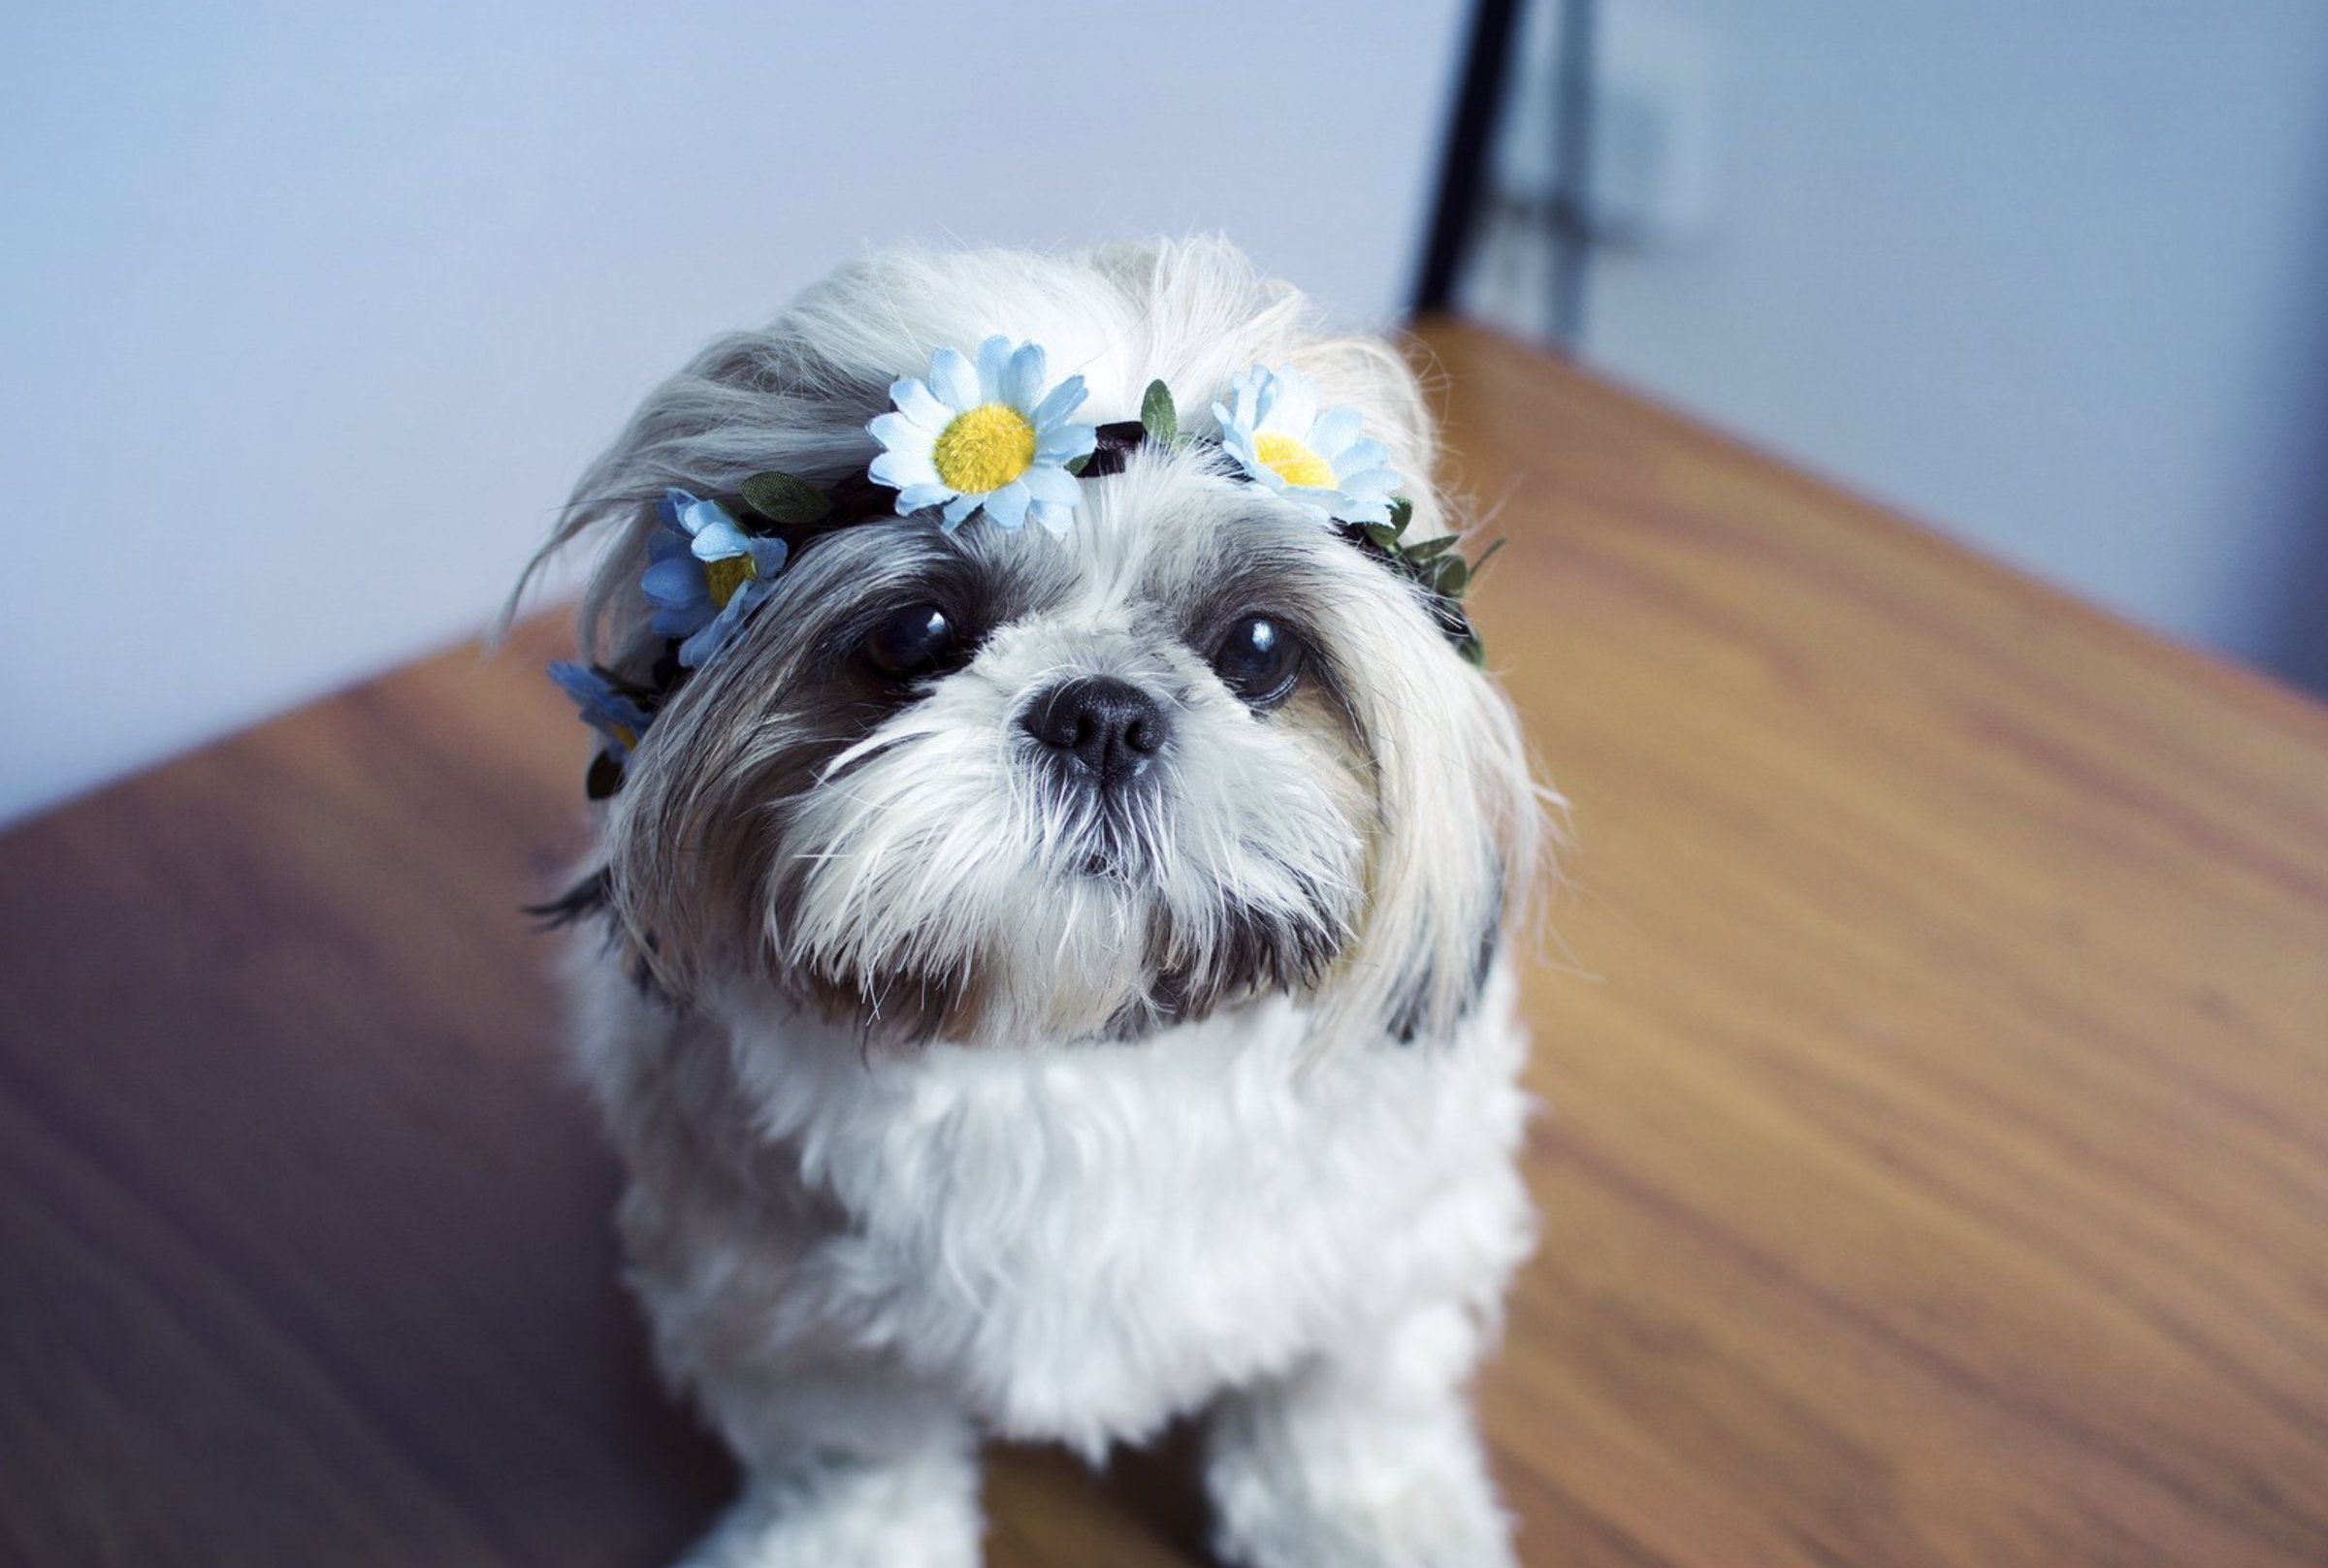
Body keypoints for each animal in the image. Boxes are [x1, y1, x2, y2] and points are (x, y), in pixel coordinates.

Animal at [521, 235, 1555, 1563]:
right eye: (916, 632)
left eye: (1260, 647)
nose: (1101, 711)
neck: (1064, 1044)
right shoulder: (769, 1293)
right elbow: (855, 1448)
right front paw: (848, 1537)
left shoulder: (1396, 1243)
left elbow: (1342, 1400)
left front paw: (1358, 1517)